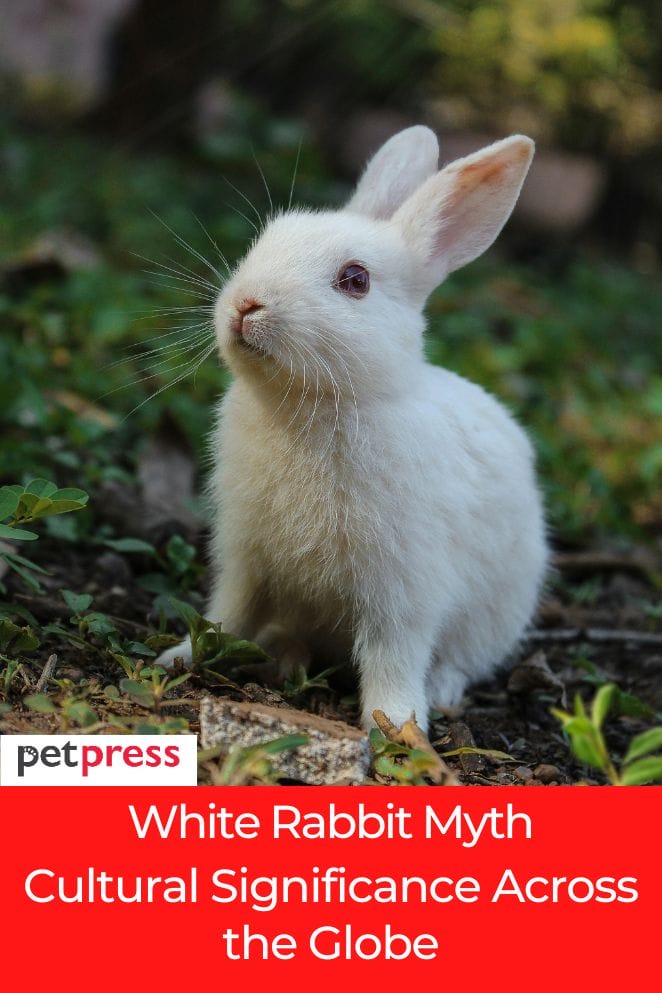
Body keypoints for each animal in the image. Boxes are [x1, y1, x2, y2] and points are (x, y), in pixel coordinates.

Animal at [158, 125, 548, 733]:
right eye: (266, 240)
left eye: (355, 280)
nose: (246, 304)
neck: (312, 406)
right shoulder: (245, 557)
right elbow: (227, 613)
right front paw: (180, 657)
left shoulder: (403, 589)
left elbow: (394, 655)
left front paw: (396, 725)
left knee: (461, 659)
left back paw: (440, 691)